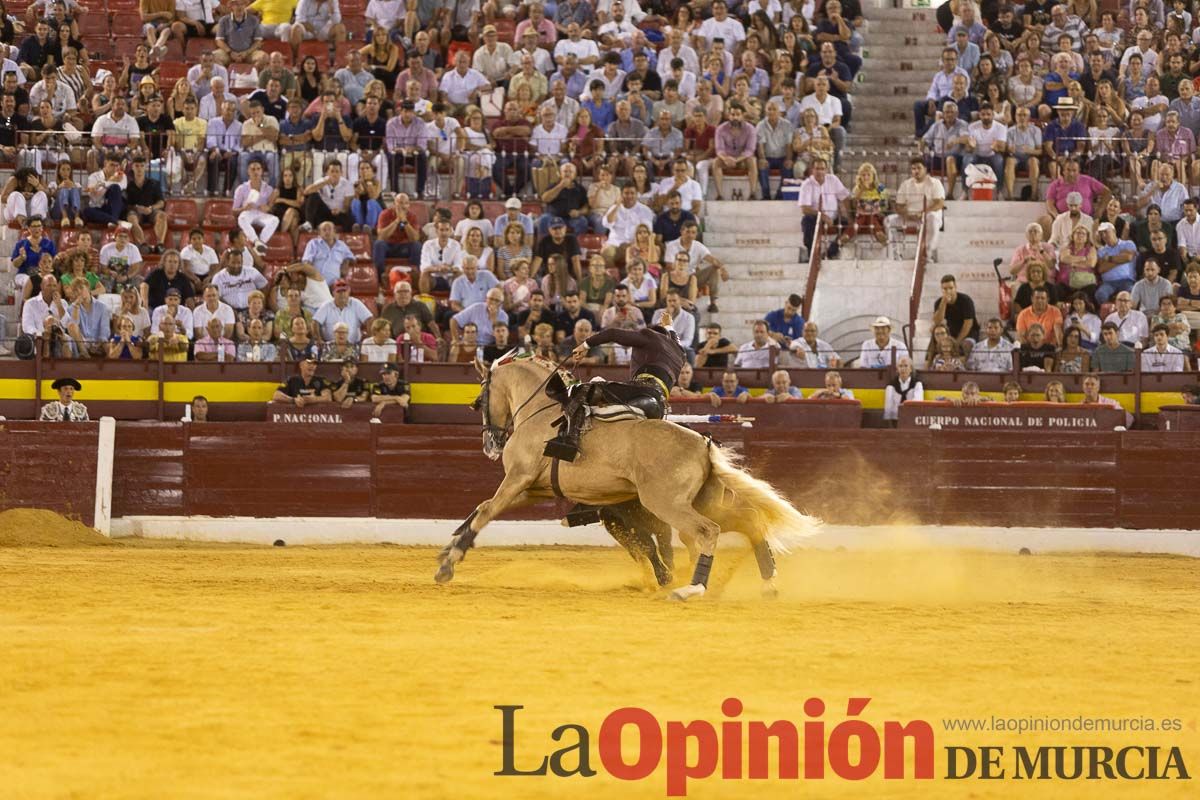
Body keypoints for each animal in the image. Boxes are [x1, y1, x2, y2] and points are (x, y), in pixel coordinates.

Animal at [432, 352, 816, 597]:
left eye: (479, 399)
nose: (490, 443)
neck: (542, 412)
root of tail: (703, 444)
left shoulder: (517, 480)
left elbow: (485, 510)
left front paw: (448, 564)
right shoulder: (531, 488)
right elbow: (481, 509)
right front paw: (448, 550)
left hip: (669, 504)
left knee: (707, 532)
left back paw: (693, 588)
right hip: (703, 501)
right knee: (749, 520)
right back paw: (768, 583)